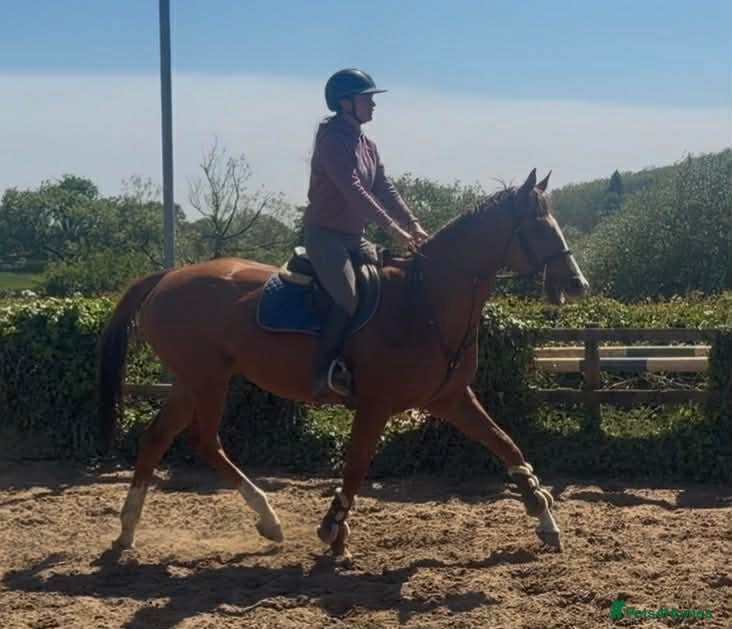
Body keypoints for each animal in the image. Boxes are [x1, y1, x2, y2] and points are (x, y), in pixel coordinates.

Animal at [97, 169, 588, 557]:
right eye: (540, 226)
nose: (577, 283)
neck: (424, 301)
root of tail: (168, 277)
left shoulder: (451, 399)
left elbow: (507, 445)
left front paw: (543, 516)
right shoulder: (375, 406)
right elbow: (355, 467)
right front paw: (334, 528)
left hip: (190, 382)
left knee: (158, 439)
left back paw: (128, 530)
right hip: (207, 379)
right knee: (204, 441)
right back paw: (267, 518)